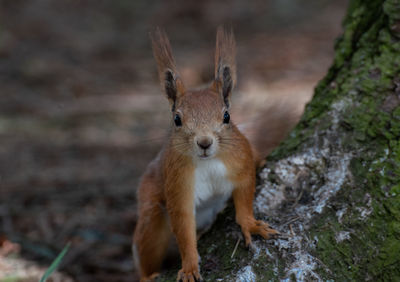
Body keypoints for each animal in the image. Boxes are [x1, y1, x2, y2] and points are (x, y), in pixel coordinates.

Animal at [133, 27, 292, 282]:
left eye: (226, 116)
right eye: (177, 119)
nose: (205, 142)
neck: (209, 162)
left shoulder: (242, 163)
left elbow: (245, 198)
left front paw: (251, 225)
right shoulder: (178, 185)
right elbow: (183, 228)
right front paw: (189, 266)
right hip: (150, 213)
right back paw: (147, 275)